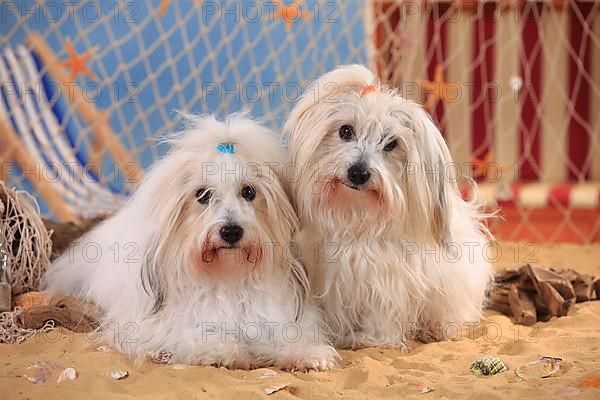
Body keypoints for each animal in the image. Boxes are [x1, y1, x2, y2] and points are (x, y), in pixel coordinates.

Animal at [43, 114, 338, 370]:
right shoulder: (159, 328)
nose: (231, 231)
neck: (228, 279)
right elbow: (198, 336)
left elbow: (288, 337)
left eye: (249, 191)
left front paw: (308, 353)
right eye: (203, 195)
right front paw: (225, 351)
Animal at [284, 65, 494, 350]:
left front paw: (370, 339)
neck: (356, 219)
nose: (358, 172)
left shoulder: (388, 281)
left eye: (391, 143)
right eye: (346, 131)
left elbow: (381, 313)